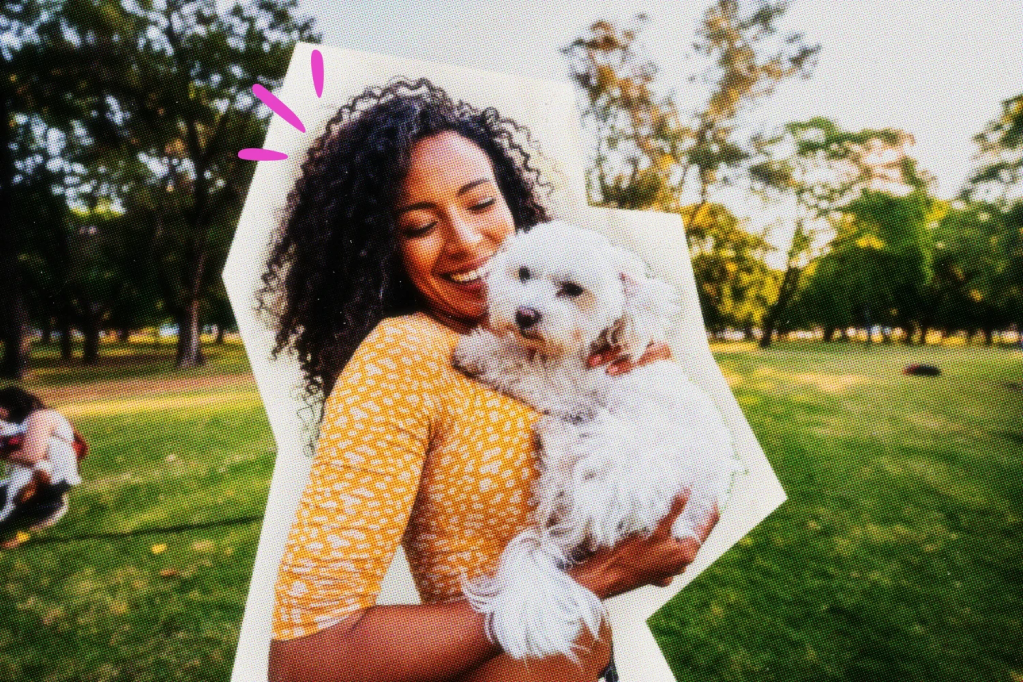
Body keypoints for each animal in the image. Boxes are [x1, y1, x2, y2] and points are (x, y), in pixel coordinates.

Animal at [452, 222, 740, 662]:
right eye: (523, 274)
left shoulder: (569, 388)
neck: (583, 350)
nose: (524, 314)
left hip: (621, 452)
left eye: (573, 289)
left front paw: (479, 350)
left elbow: (520, 366)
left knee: (568, 478)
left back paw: (556, 437)